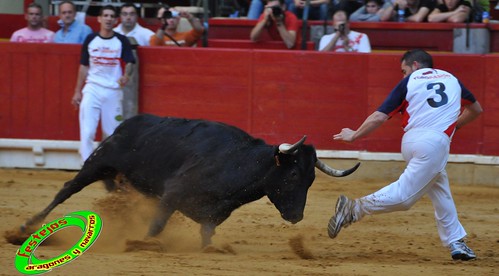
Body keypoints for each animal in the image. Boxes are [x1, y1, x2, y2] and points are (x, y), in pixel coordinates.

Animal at [20, 113, 360, 246]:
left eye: (311, 180)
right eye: (291, 174)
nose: (296, 216)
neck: (236, 165)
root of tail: (127, 122)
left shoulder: (211, 217)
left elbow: (206, 238)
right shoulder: (172, 195)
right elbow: (156, 227)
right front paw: (142, 245)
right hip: (98, 162)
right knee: (66, 190)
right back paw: (27, 226)